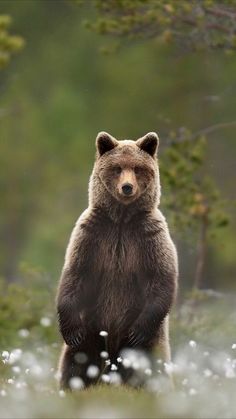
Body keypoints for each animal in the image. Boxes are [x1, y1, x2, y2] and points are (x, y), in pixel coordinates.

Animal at [56, 132, 178, 390]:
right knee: (76, 364)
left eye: (138, 168)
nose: (127, 187)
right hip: (92, 330)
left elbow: (161, 278)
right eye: (117, 167)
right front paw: (71, 330)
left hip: (151, 344)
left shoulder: (149, 237)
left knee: (152, 369)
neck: (121, 220)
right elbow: (75, 274)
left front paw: (138, 331)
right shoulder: (92, 236)